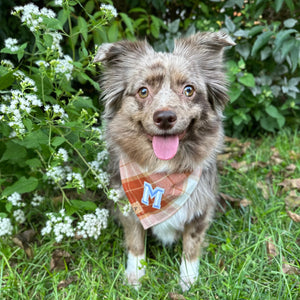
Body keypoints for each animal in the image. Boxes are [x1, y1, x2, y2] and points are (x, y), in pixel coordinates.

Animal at [95, 31, 236, 290]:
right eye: (143, 91)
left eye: (189, 90)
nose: (165, 117)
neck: (163, 173)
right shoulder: (128, 207)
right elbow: (135, 243)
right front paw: (135, 276)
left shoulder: (201, 209)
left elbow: (191, 246)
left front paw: (188, 280)